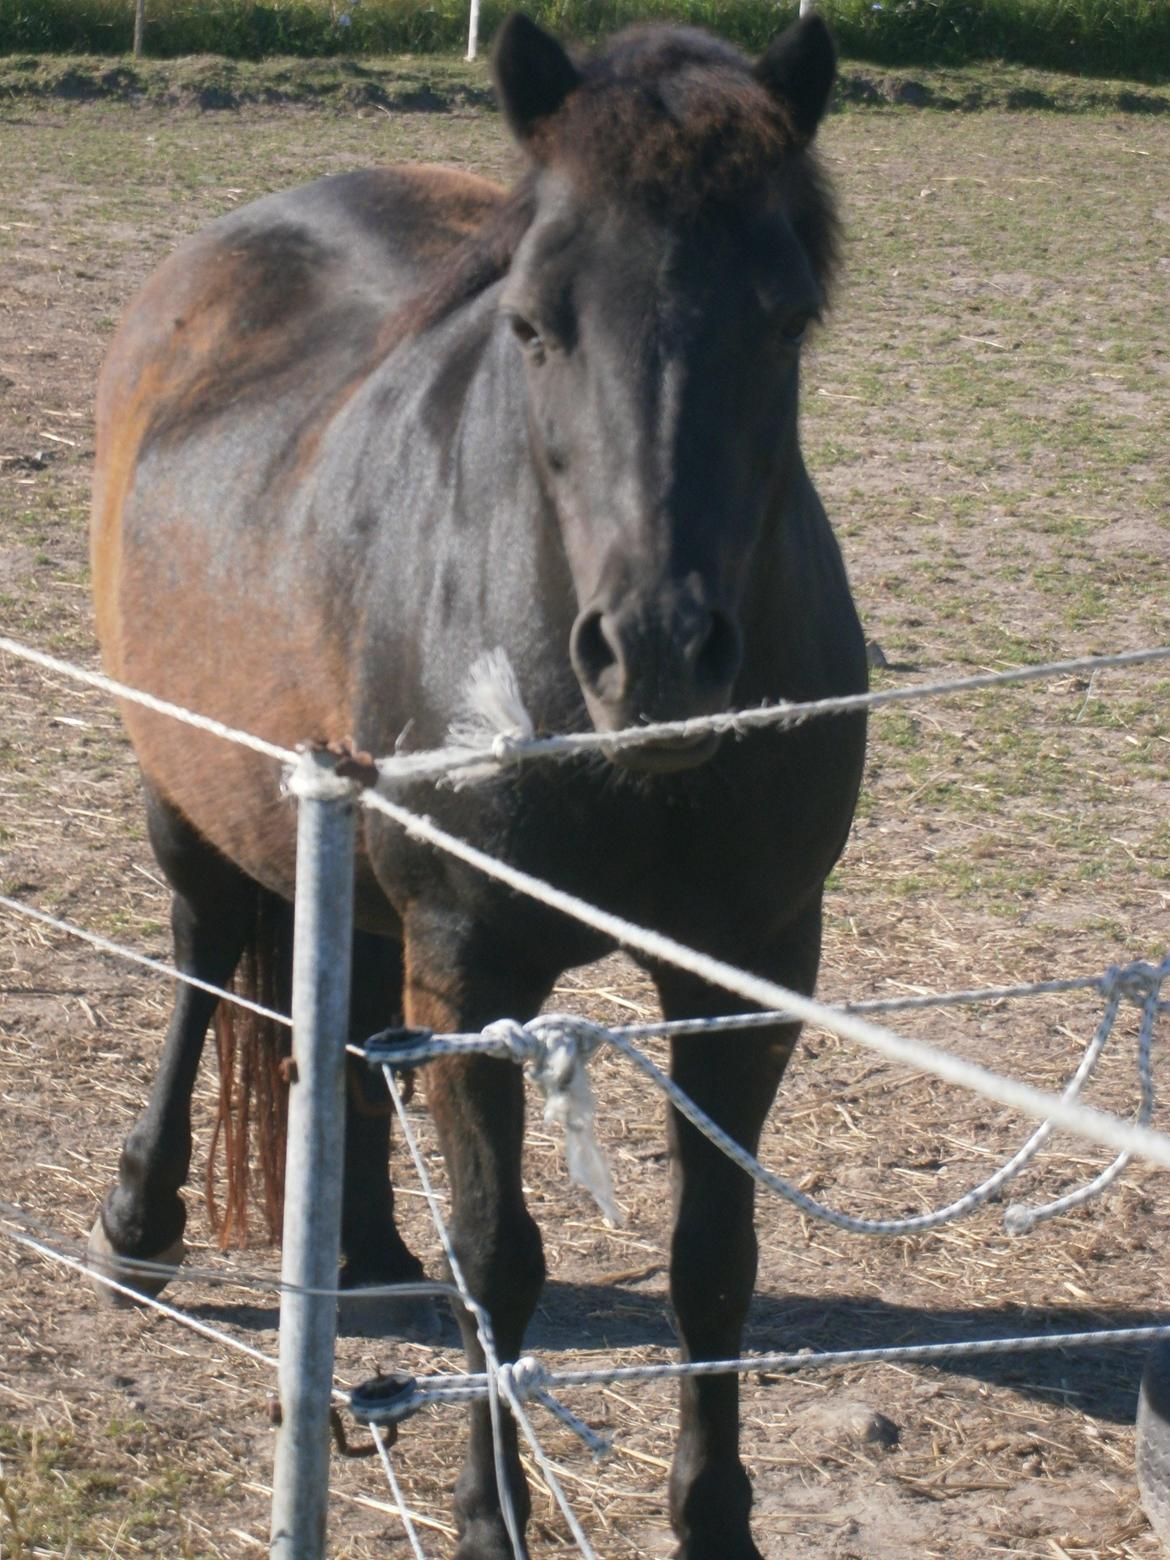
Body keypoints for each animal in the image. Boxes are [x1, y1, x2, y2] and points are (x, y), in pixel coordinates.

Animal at [89, 15, 873, 1560]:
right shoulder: (474, 963)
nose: (658, 652)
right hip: (190, 798)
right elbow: (500, 1258)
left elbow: (715, 1261)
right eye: (534, 323)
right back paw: (144, 1223)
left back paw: (363, 1253)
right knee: (204, 964)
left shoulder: (753, 969)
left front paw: (715, 1519)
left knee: (342, 1030)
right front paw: (486, 1517)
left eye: (785, 317)